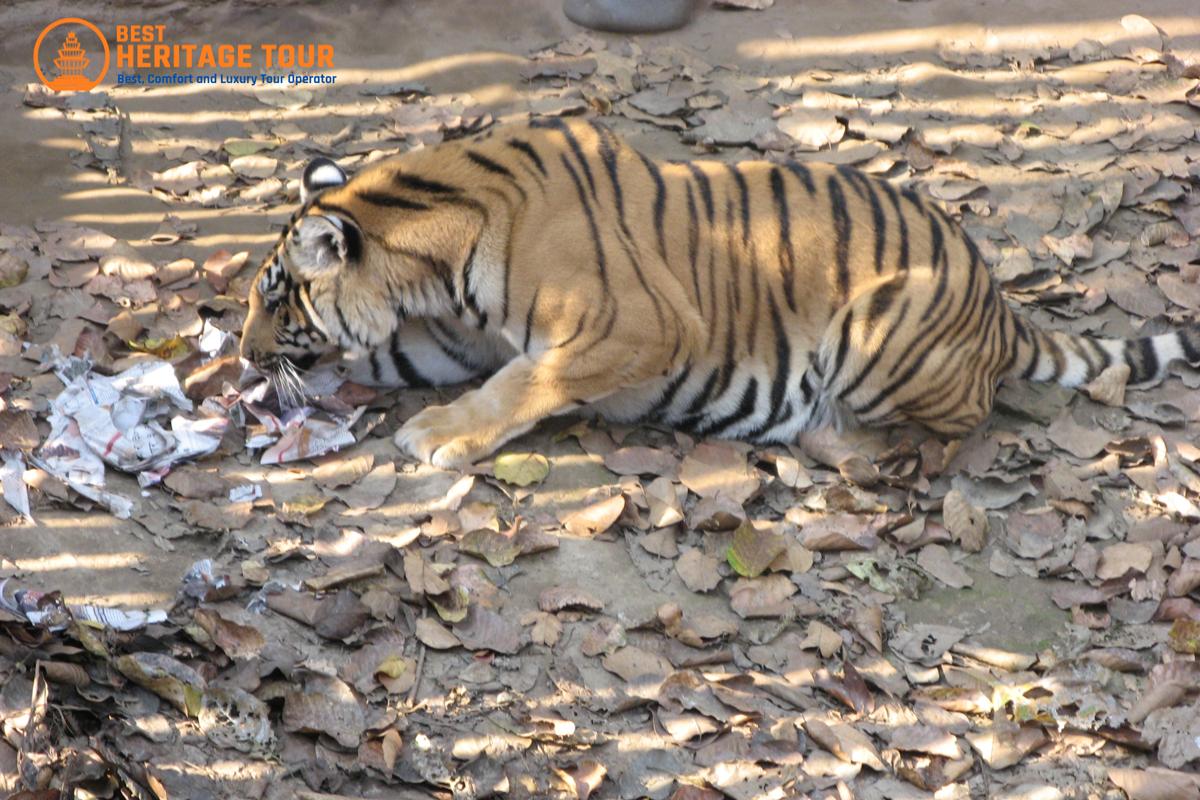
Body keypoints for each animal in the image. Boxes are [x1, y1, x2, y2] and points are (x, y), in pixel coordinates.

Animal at [238, 118, 1200, 470]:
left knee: (965, 417)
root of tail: (1001, 306)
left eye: (279, 300)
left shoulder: (629, 326)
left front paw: (438, 435)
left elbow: (521, 384)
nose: (246, 357)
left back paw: (840, 439)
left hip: (882, 332)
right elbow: (409, 361)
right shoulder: (451, 337)